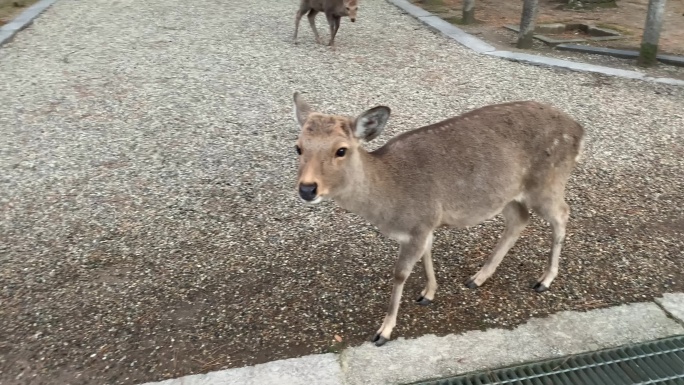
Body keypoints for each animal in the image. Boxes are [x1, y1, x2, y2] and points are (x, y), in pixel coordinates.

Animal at [292, 91, 584, 344]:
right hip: (509, 194)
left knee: (562, 214)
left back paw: (544, 280)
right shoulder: (426, 225)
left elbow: (400, 273)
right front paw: (428, 293)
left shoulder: (419, 223)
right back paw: (477, 278)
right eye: (298, 147)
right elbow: (427, 254)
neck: (388, 202)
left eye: (341, 150)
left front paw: (384, 331)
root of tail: (579, 130)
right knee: (519, 219)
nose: (307, 188)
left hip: (548, 182)